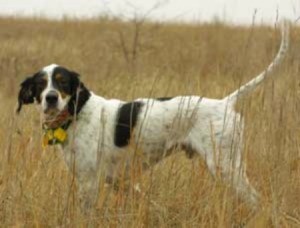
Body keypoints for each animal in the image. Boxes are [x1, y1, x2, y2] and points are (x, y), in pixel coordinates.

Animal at [17, 21, 288, 210]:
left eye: (62, 82)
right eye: (40, 84)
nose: (51, 97)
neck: (78, 113)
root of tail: (225, 102)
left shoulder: (89, 183)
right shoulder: (120, 181)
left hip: (226, 167)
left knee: (256, 200)